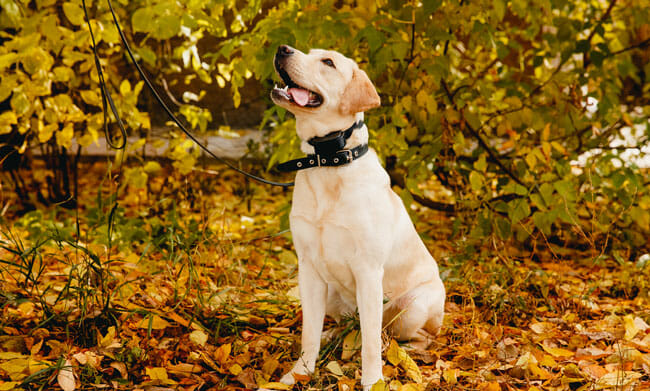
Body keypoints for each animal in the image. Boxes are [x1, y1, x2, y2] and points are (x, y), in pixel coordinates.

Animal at [268, 45, 440, 388]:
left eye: (328, 62)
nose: (283, 48)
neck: (329, 161)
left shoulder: (369, 271)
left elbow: (371, 344)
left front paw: (373, 382)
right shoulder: (308, 268)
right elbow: (309, 333)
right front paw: (299, 373)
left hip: (413, 306)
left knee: (399, 334)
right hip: (333, 292)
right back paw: (333, 334)